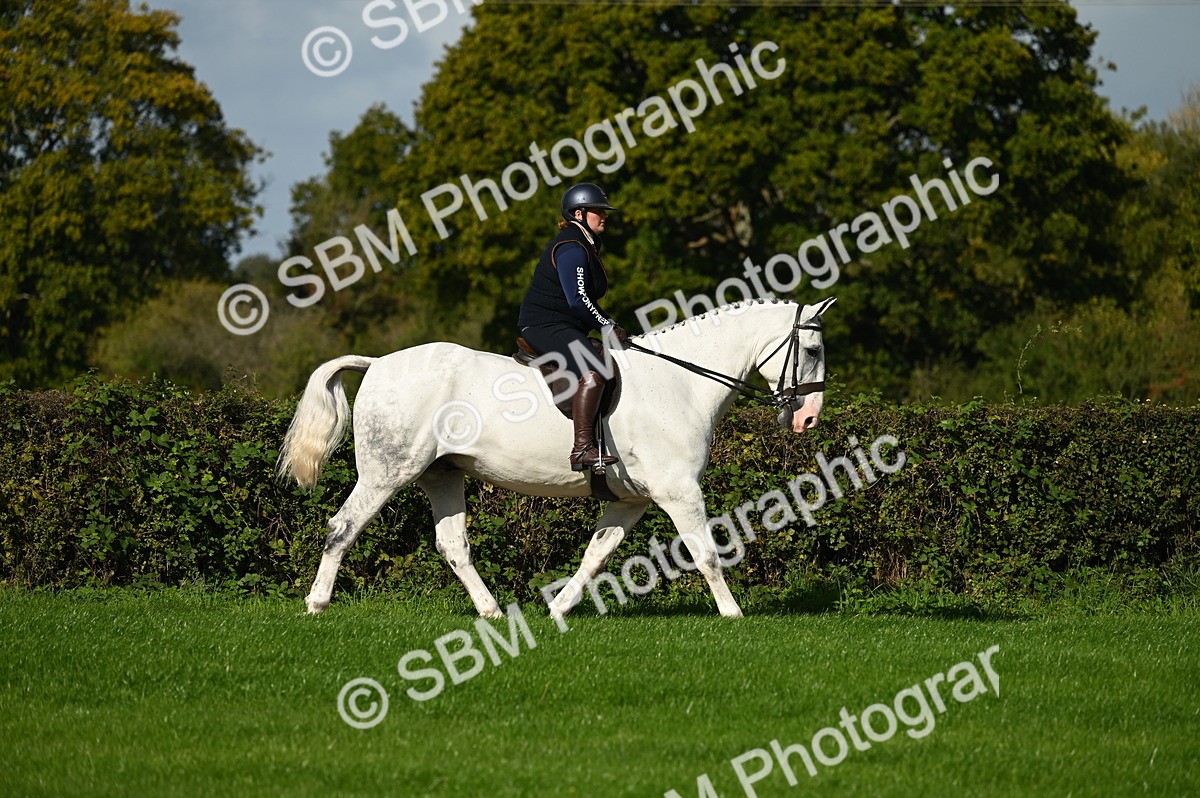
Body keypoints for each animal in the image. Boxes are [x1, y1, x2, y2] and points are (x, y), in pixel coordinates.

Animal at [277, 296, 836, 619]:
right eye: (810, 350)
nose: (808, 419)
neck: (681, 381)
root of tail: (377, 363)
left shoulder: (632, 500)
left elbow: (597, 553)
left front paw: (559, 608)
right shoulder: (678, 491)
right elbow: (706, 552)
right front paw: (733, 614)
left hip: (442, 475)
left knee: (453, 546)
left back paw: (492, 612)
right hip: (387, 473)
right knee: (342, 527)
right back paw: (317, 603)